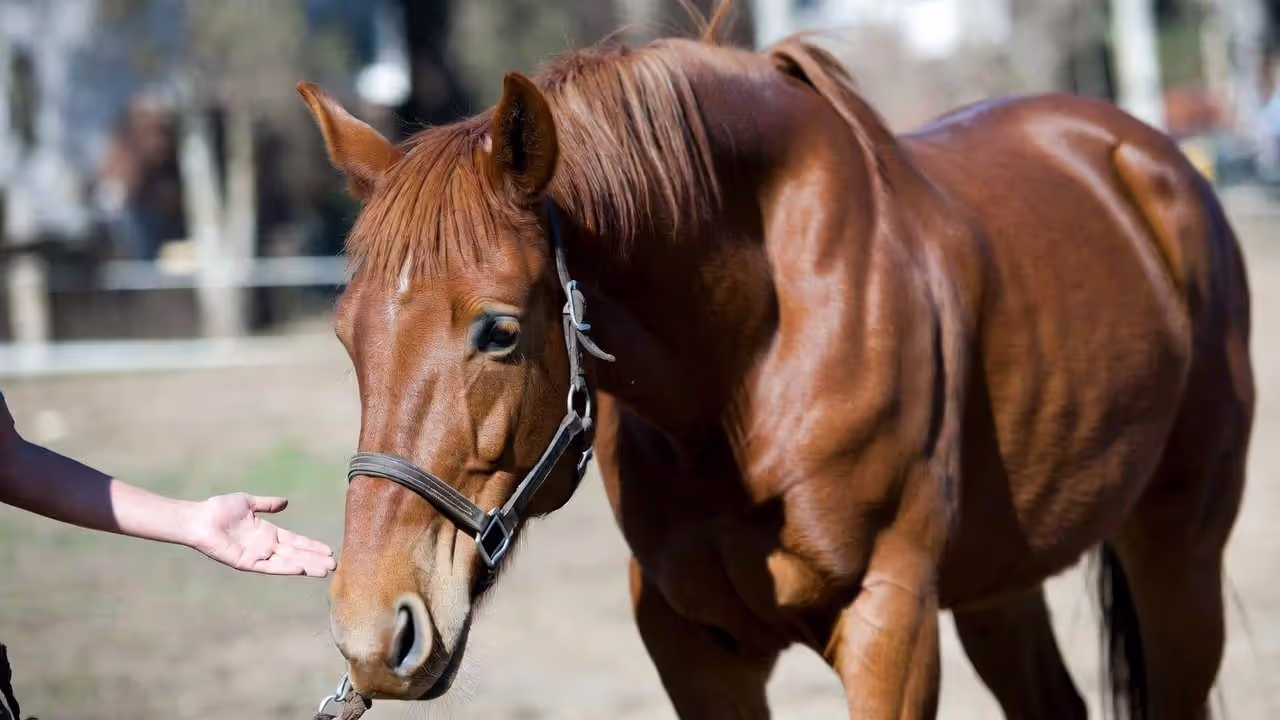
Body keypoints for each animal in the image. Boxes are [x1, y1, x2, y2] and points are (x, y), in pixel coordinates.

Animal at [298, 11, 1254, 720]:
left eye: (496, 331)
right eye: (346, 336)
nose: (373, 635)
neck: (747, 369)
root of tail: (1147, 159)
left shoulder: (890, 626)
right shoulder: (696, 650)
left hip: (1178, 551)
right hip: (998, 581)